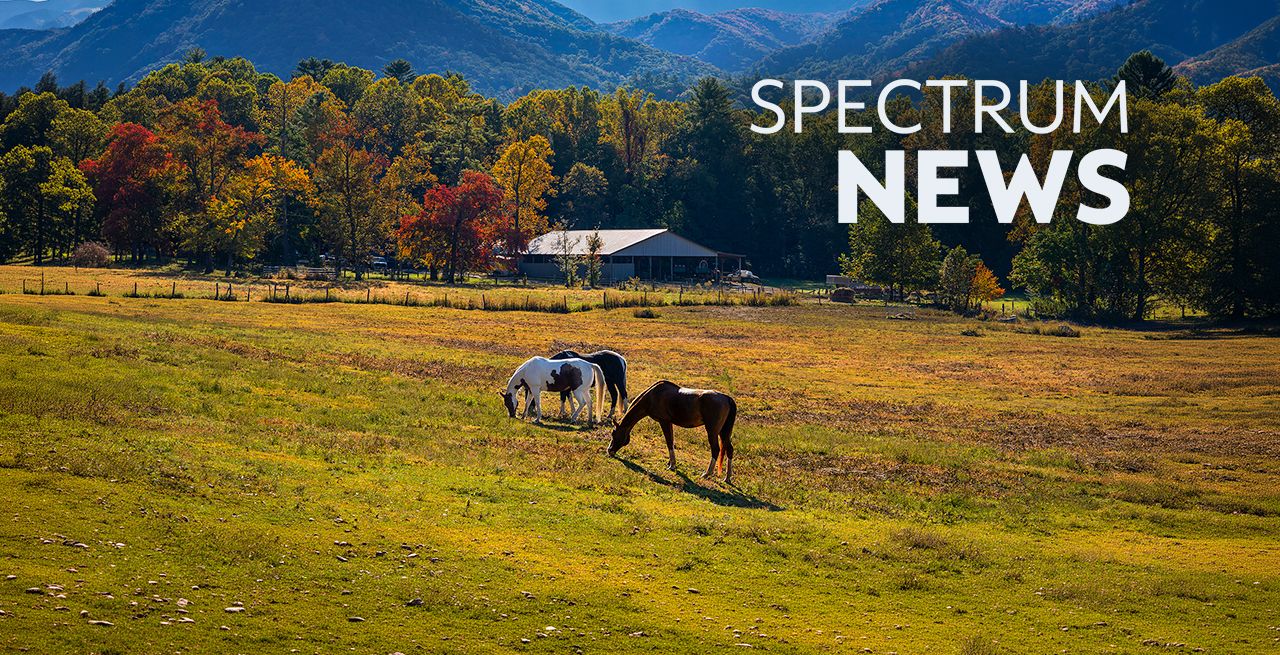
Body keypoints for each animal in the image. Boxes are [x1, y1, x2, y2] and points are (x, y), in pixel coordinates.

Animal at [606, 380, 737, 483]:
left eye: (613, 433)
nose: (609, 450)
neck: (652, 395)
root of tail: (727, 398)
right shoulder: (669, 423)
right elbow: (671, 441)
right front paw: (671, 463)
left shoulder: (664, 422)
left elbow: (669, 442)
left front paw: (672, 465)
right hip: (723, 432)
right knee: (729, 449)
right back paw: (727, 477)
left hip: (712, 431)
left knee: (715, 449)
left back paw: (707, 473)